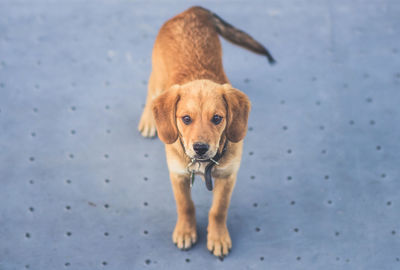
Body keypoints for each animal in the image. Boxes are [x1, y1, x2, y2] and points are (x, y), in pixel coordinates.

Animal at [138, 6, 276, 258]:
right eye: (186, 119)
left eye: (217, 119)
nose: (200, 148)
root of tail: (192, 10)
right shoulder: (178, 175)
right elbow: (186, 206)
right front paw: (185, 231)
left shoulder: (228, 177)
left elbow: (218, 210)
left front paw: (218, 237)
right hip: (158, 75)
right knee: (151, 94)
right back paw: (148, 120)